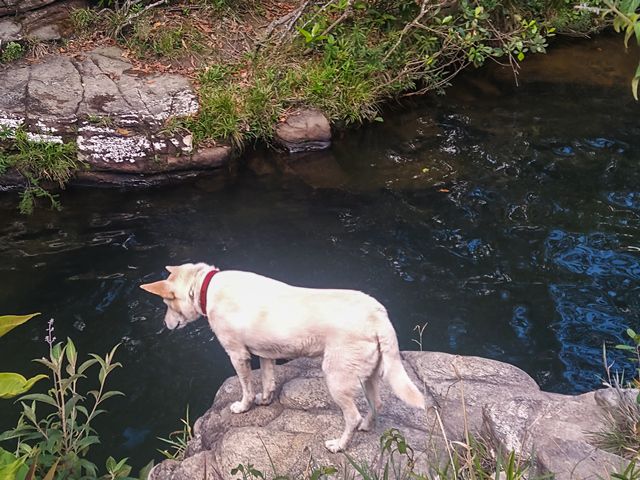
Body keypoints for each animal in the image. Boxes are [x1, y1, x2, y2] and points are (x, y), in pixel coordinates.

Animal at [142, 264, 428, 452]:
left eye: (167, 304)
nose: (165, 325)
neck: (205, 287)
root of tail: (378, 315)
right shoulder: (265, 354)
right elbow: (268, 381)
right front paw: (265, 400)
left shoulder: (238, 355)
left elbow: (246, 387)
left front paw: (243, 407)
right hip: (368, 375)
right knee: (376, 403)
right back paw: (367, 427)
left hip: (336, 378)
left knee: (352, 416)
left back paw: (339, 445)